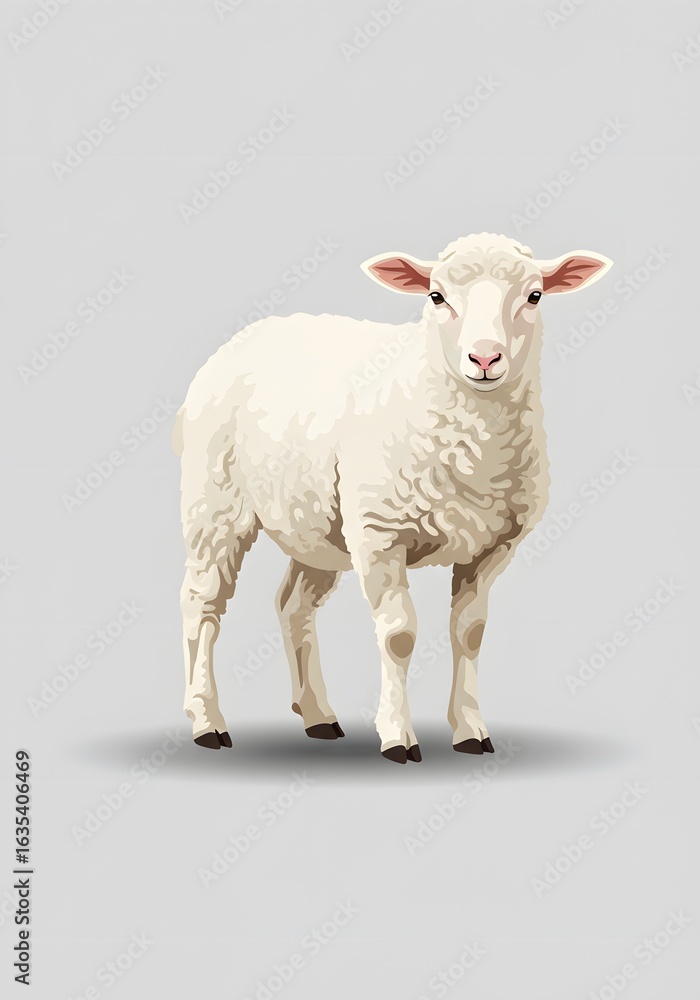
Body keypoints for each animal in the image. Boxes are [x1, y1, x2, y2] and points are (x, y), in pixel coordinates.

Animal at [174, 232, 612, 763]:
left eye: (534, 296)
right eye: (436, 296)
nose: (485, 359)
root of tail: (246, 335)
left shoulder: (493, 546)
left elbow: (469, 633)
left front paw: (471, 730)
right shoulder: (380, 535)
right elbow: (399, 634)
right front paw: (398, 736)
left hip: (318, 524)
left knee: (293, 605)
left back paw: (318, 716)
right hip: (215, 502)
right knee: (202, 603)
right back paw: (207, 722)